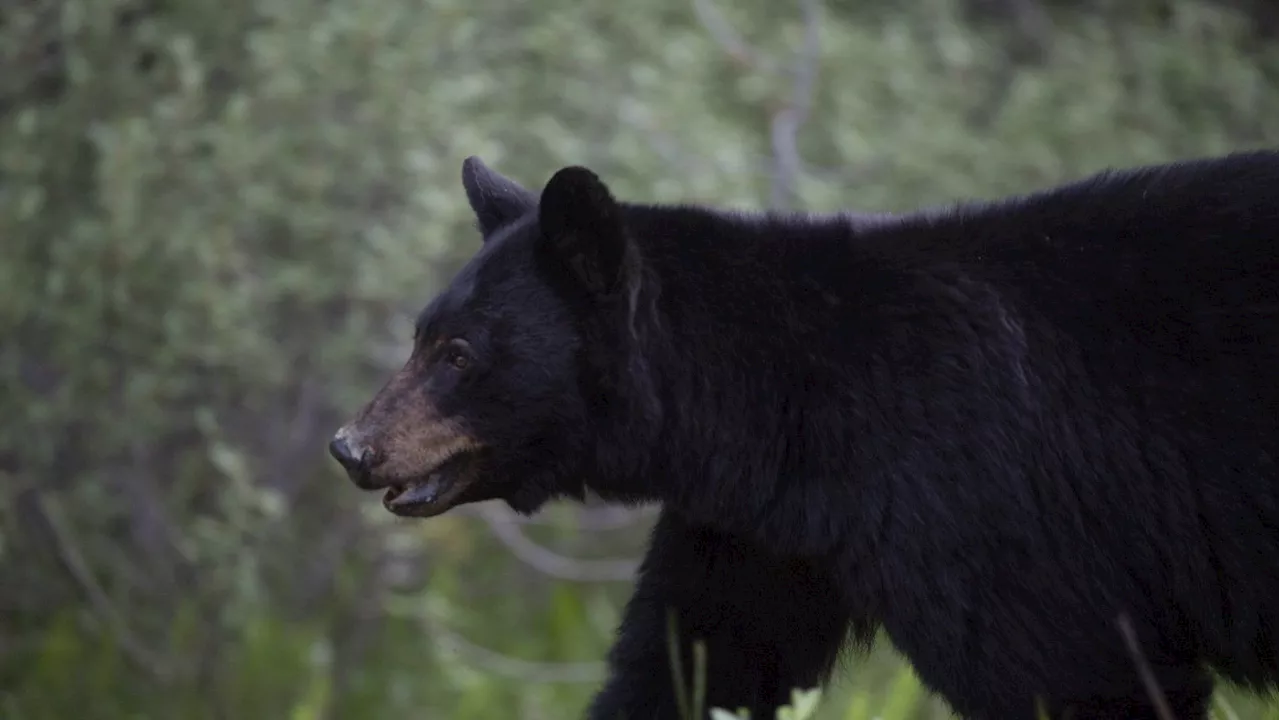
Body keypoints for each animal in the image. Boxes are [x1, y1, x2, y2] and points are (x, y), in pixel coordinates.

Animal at [327, 151, 1280, 717]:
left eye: (458, 353)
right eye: (421, 334)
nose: (350, 446)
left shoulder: (984, 504)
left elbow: (1071, 670)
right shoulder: (764, 534)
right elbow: (700, 661)